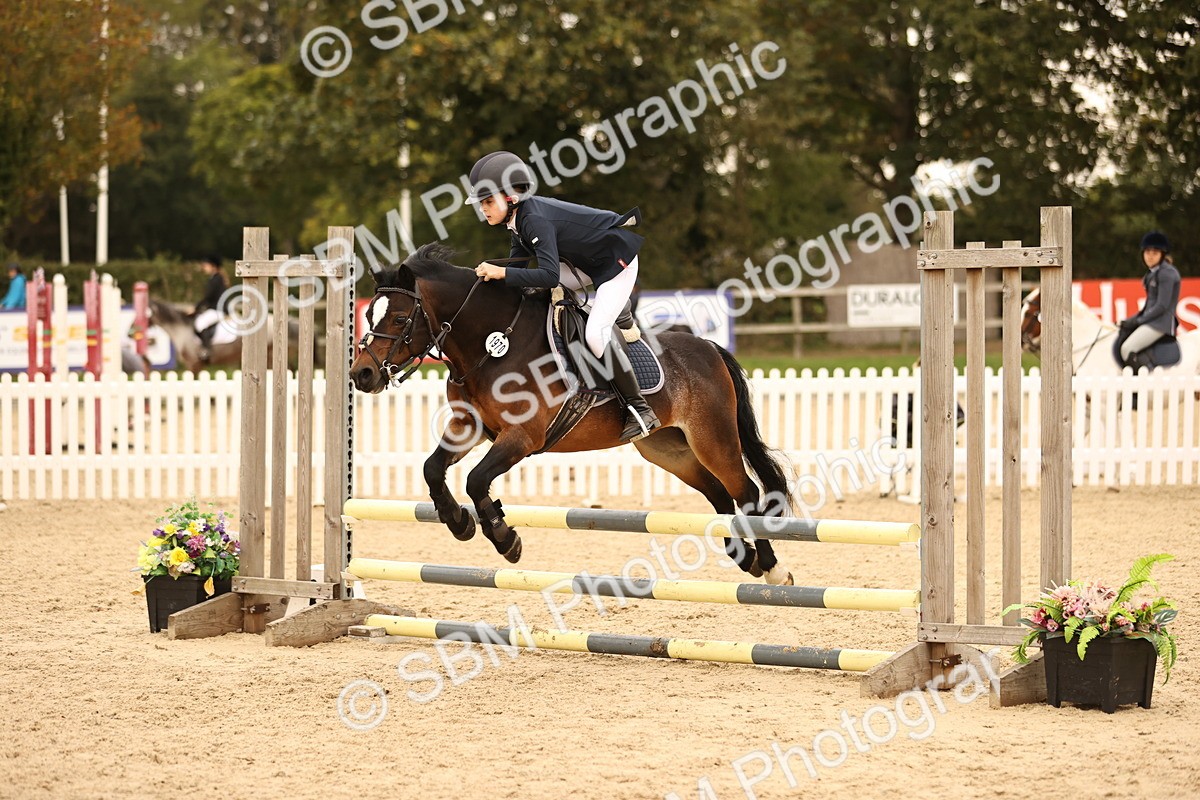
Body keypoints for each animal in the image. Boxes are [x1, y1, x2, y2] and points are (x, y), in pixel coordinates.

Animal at [350, 244, 797, 585]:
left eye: (400, 317)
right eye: (369, 315)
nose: (361, 374)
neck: (489, 346)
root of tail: (708, 347)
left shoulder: (523, 436)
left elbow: (477, 479)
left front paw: (505, 539)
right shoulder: (469, 425)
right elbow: (432, 468)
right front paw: (459, 522)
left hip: (712, 438)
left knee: (746, 493)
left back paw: (772, 568)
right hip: (667, 448)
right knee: (718, 493)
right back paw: (744, 557)